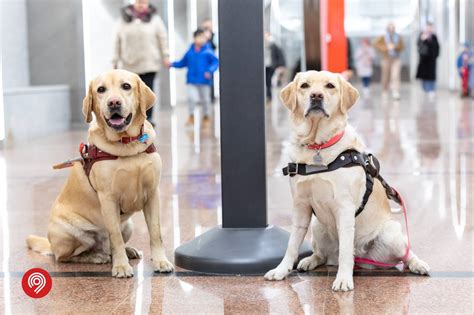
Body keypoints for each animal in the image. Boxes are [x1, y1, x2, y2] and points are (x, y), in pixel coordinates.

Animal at [26, 69, 174, 278]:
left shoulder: (152, 194)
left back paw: (126, 251)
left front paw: (161, 261)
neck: (126, 144)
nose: (113, 103)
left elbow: (155, 233)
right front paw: (121, 267)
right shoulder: (108, 198)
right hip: (68, 233)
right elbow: (115, 236)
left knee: (109, 246)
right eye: (101, 90)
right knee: (65, 257)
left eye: (126, 86)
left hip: (128, 226)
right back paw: (95, 256)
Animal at [264, 71, 432, 292]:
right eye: (305, 86)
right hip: (317, 227)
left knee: (404, 253)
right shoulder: (301, 207)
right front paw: (281, 269)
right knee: (323, 255)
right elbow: (292, 245)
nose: (316, 96)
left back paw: (417, 264)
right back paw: (310, 260)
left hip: (391, 233)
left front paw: (343, 279)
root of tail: (362, 257)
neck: (318, 146)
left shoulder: (344, 209)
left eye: (330, 86)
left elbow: (345, 250)